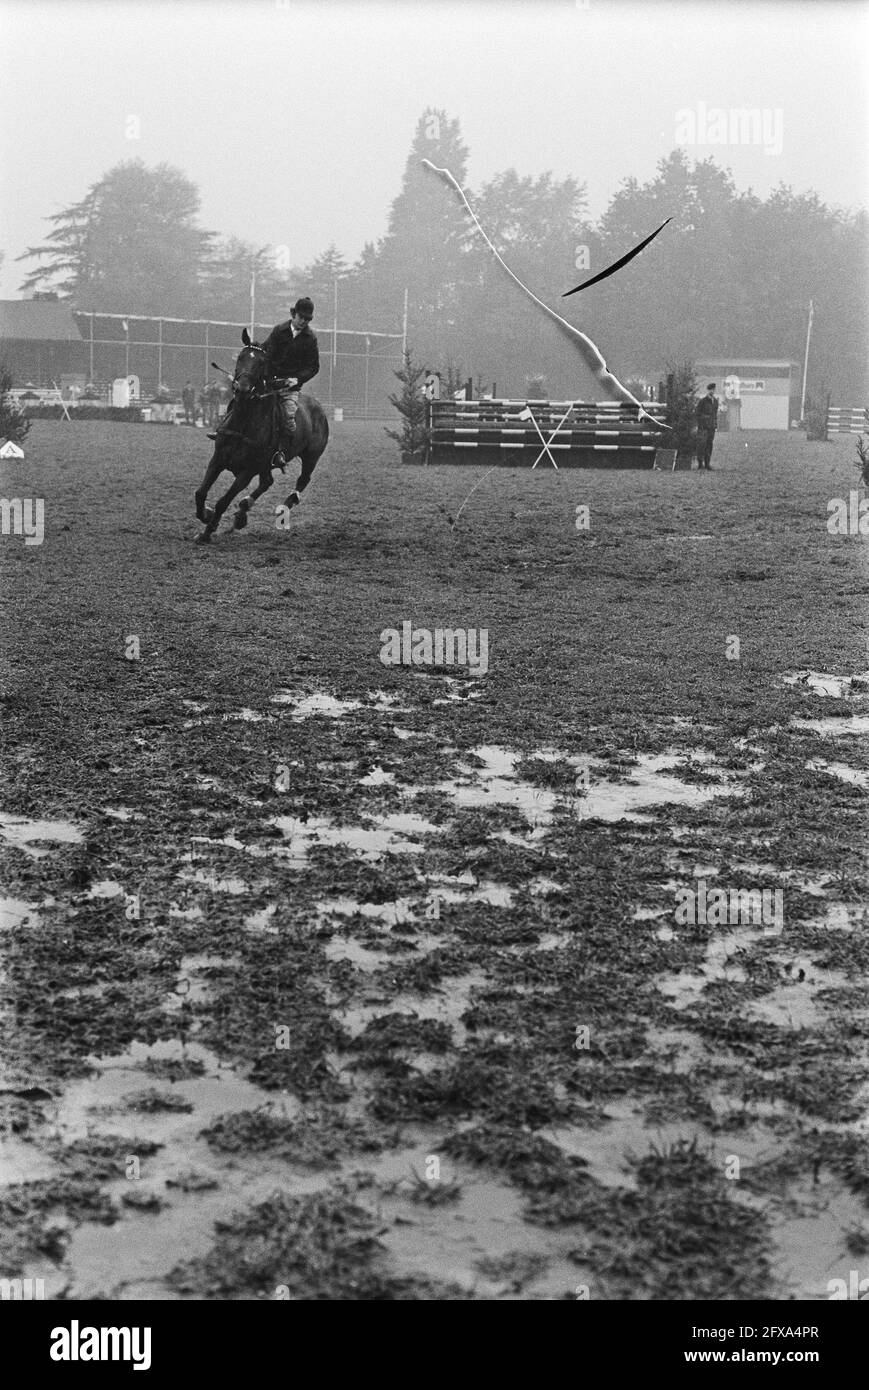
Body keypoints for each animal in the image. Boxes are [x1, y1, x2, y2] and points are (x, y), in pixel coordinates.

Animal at [193, 326, 328, 542]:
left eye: (261, 362)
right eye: (240, 357)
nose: (242, 389)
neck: (243, 423)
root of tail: (319, 408)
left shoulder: (248, 470)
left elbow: (223, 501)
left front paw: (207, 532)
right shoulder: (218, 459)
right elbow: (200, 492)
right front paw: (206, 514)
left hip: (311, 456)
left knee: (303, 480)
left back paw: (284, 507)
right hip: (266, 464)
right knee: (267, 481)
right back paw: (242, 511)